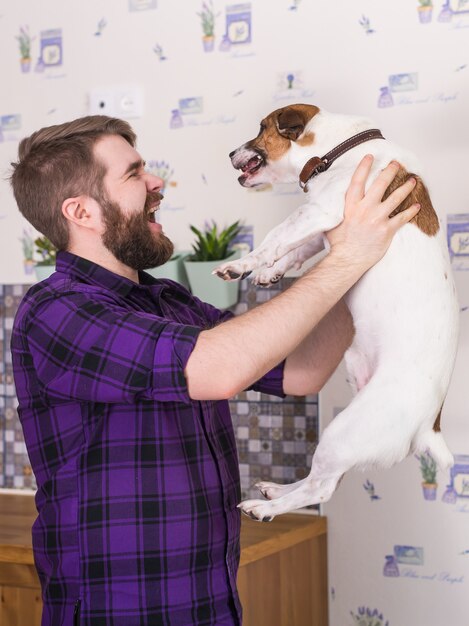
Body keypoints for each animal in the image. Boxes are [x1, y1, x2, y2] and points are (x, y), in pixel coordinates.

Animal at [215, 103, 458, 520]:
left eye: (261, 128)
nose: (230, 152)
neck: (341, 149)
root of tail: (430, 426)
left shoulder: (319, 212)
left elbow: (273, 240)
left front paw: (241, 265)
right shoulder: (323, 226)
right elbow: (296, 250)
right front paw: (268, 272)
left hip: (344, 432)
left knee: (322, 487)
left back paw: (264, 507)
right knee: (325, 480)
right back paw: (273, 491)